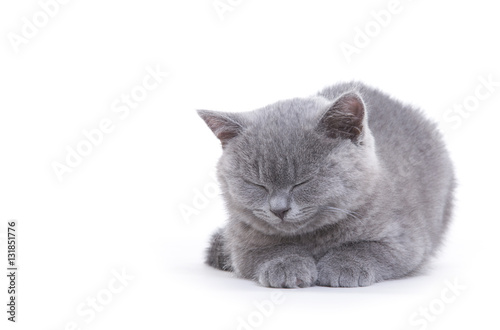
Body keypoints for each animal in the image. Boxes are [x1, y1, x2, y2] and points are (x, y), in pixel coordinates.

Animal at [197, 81, 456, 288]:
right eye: (256, 184)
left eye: (303, 181)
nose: (278, 209)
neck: (313, 237)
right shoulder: (241, 244)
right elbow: (268, 251)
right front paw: (287, 267)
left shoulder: (406, 240)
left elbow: (367, 248)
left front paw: (343, 267)